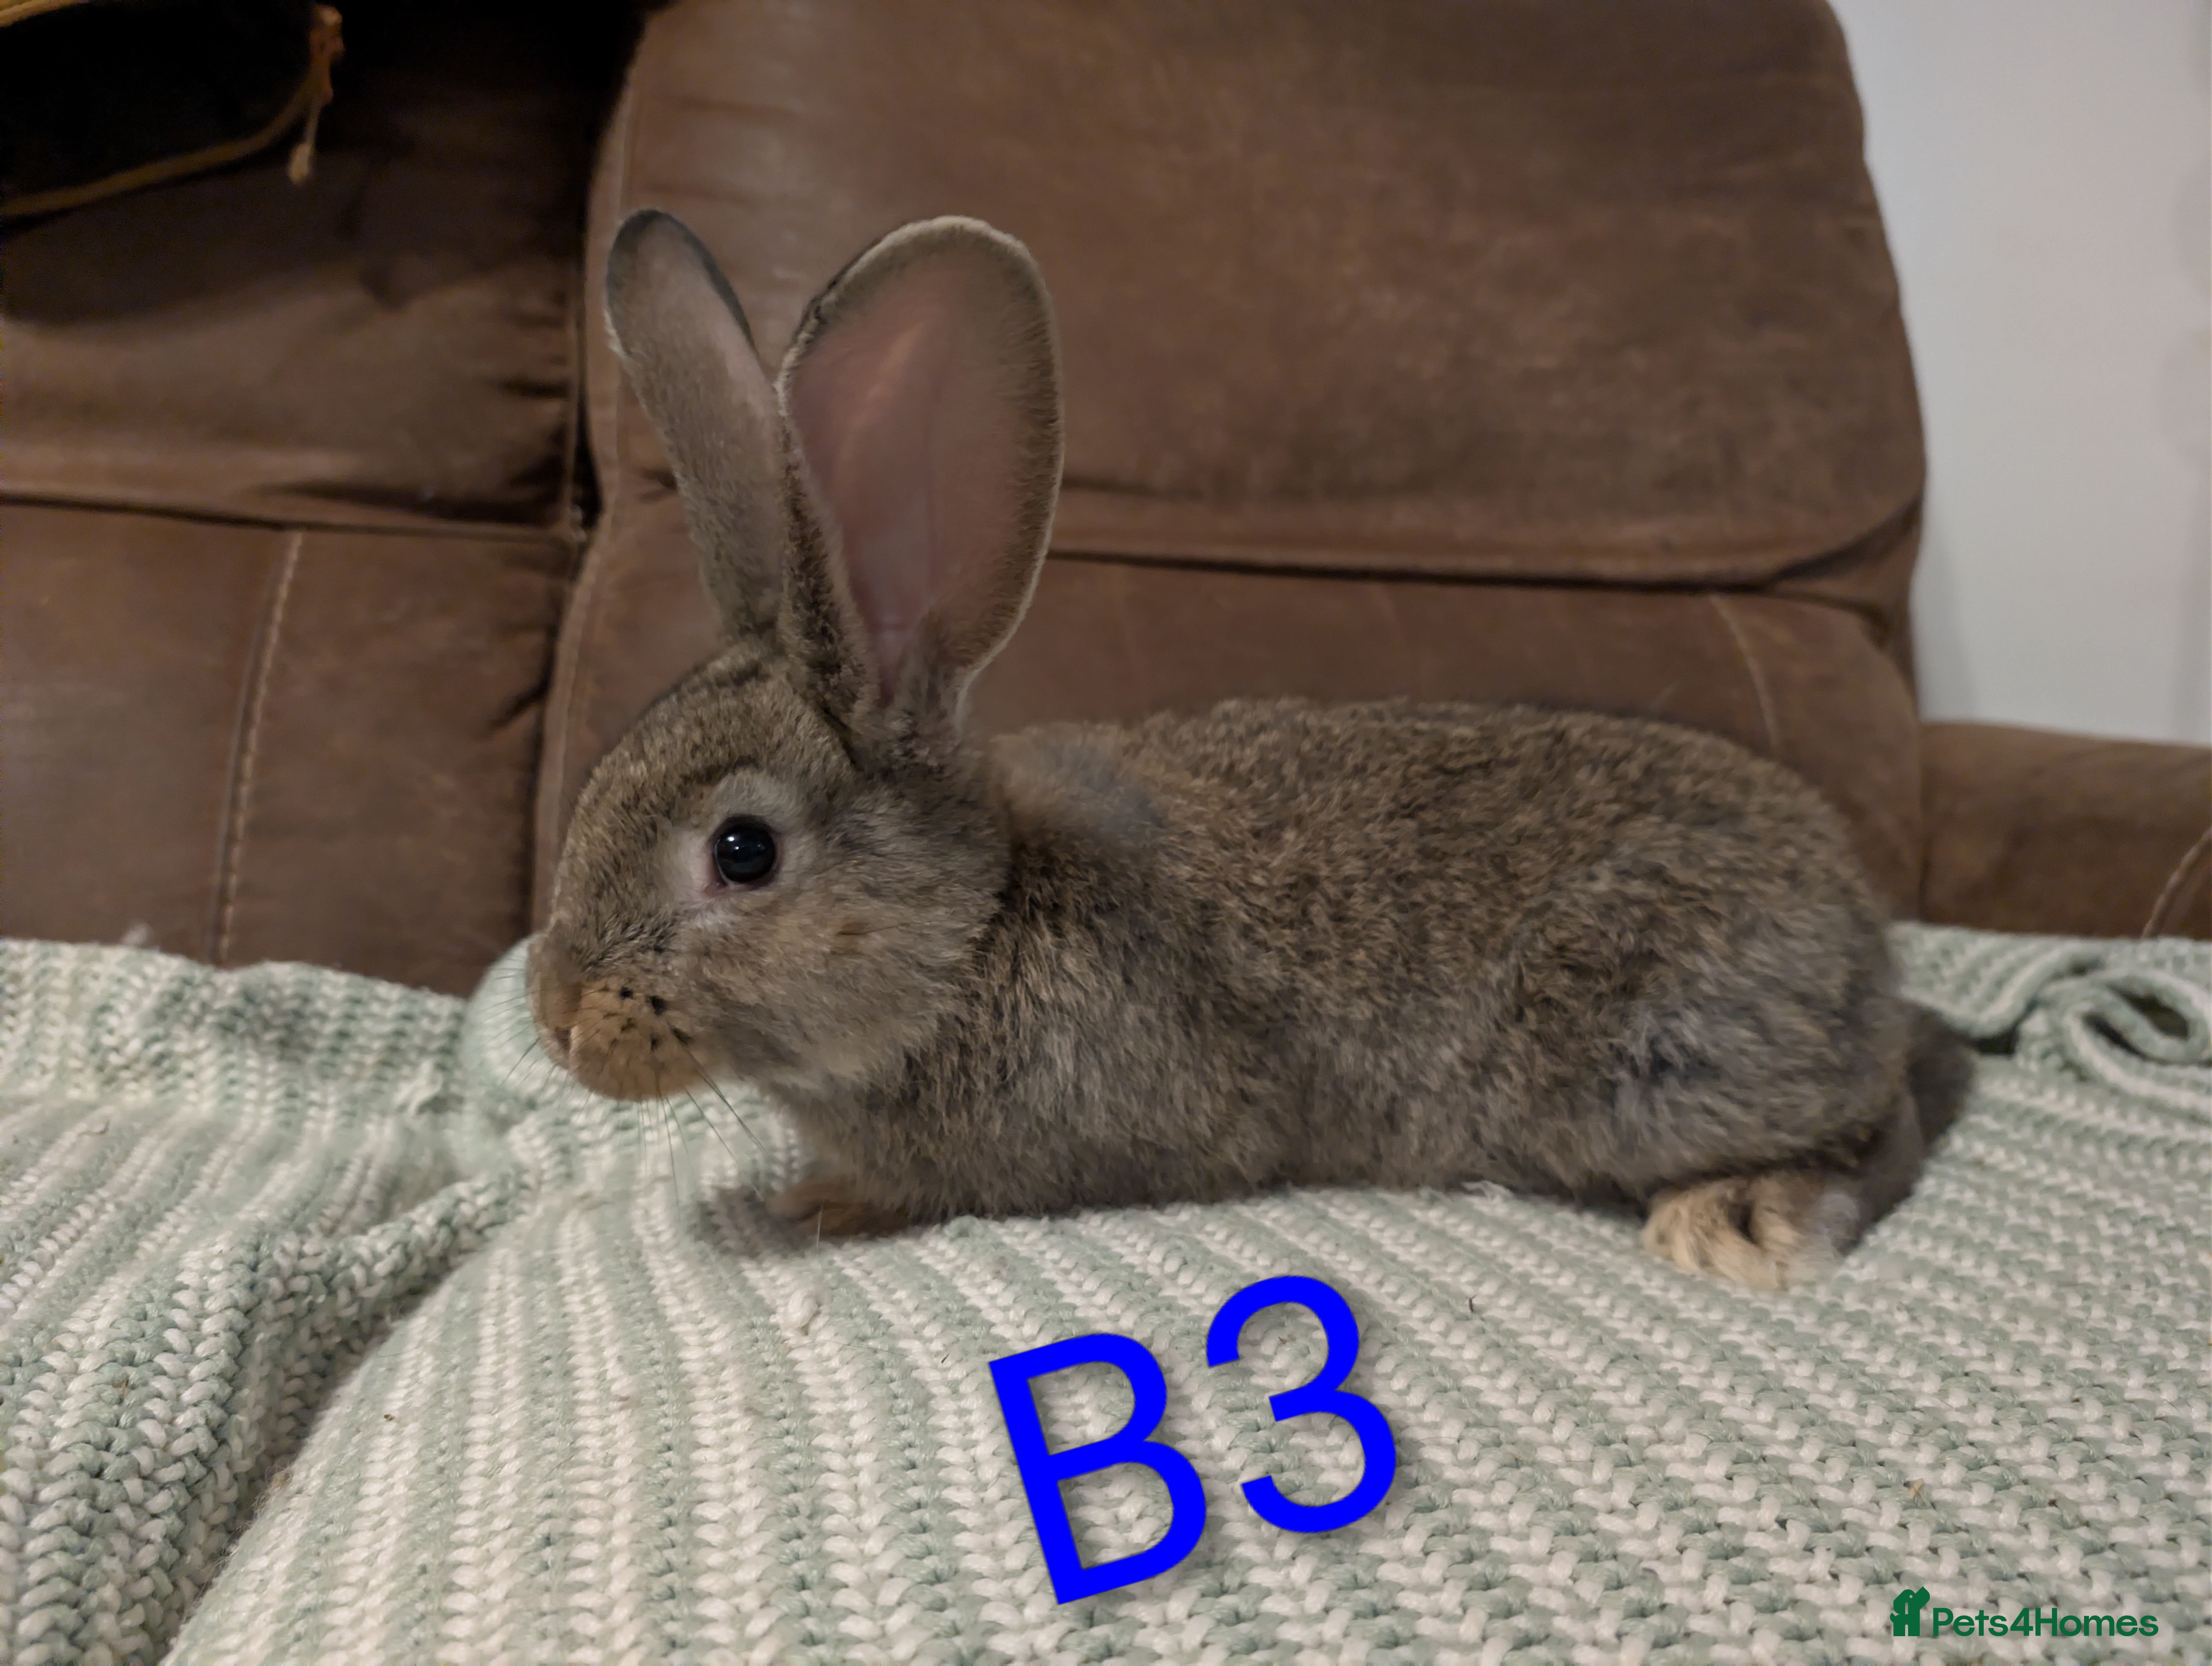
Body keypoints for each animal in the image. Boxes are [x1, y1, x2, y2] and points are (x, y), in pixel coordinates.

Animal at [529, 207, 1971, 1291]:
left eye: (742, 851)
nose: (557, 1019)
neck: (970, 932)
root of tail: (1859, 933)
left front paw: (827, 1204)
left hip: (1648, 1048)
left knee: (1881, 1122)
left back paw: (1742, 1219)